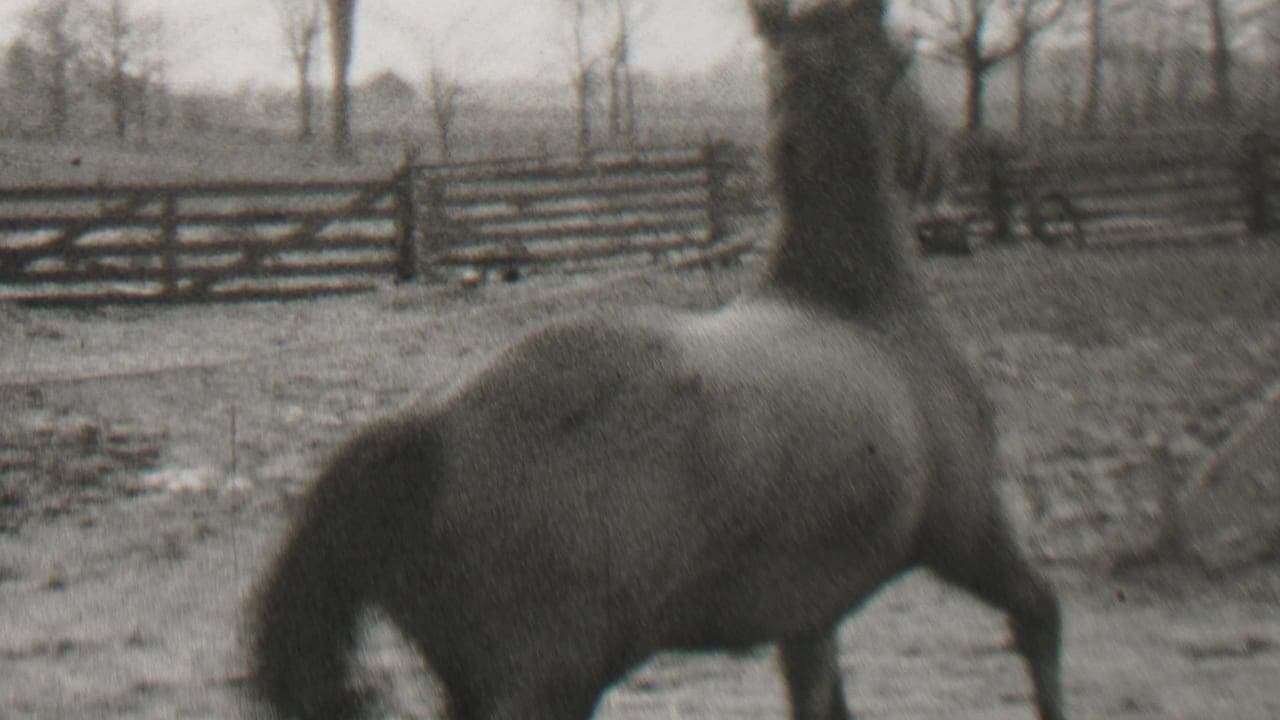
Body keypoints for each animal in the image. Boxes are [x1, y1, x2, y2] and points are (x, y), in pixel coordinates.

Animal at [244, 1, 1066, 718]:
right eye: (906, 60)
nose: (943, 166)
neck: (860, 311)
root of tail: (427, 434)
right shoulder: (968, 533)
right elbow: (1040, 621)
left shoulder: (809, 618)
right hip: (547, 687)